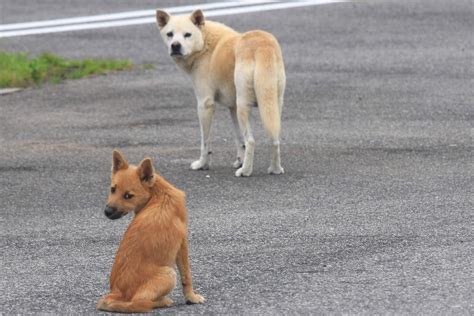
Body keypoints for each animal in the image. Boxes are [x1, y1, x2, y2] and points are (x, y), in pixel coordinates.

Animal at [156, 8, 286, 177]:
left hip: (244, 106)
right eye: (170, 34)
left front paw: (203, 164)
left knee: (251, 141)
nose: (175, 46)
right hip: (272, 106)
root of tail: (262, 45)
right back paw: (275, 169)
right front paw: (239, 160)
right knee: (274, 139)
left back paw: (245, 171)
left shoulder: (205, 105)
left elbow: (205, 142)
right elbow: (239, 139)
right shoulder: (233, 107)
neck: (205, 43)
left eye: (187, 34)